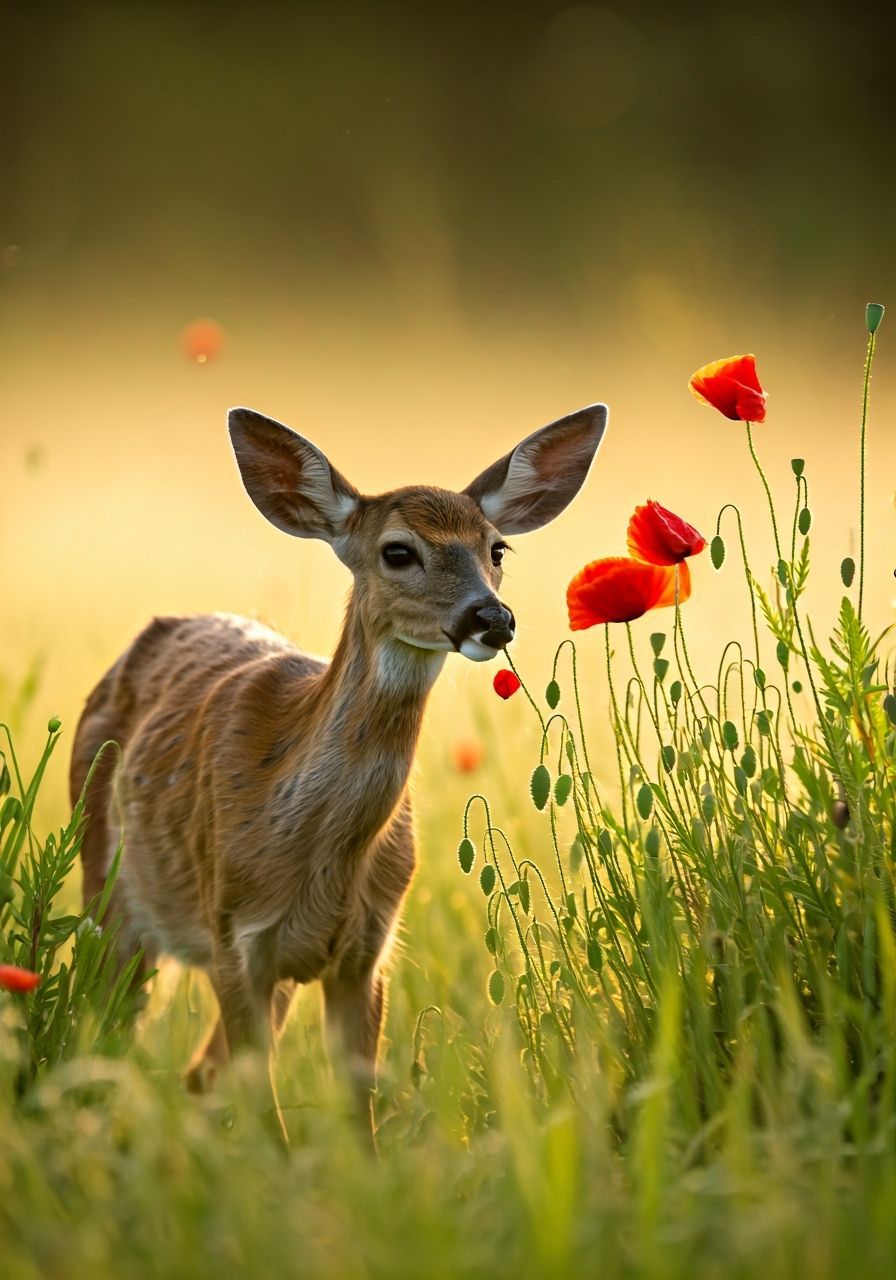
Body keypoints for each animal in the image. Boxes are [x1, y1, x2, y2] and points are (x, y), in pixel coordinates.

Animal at [69, 400, 608, 1132]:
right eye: (398, 550)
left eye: (497, 548)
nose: (491, 617)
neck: (319, 853)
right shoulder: (234, 936)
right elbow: (266, 1116)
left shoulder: (366, 954)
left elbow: (360, 1111)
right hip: (108, 891)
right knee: (103, 1038)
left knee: (197, 1072)